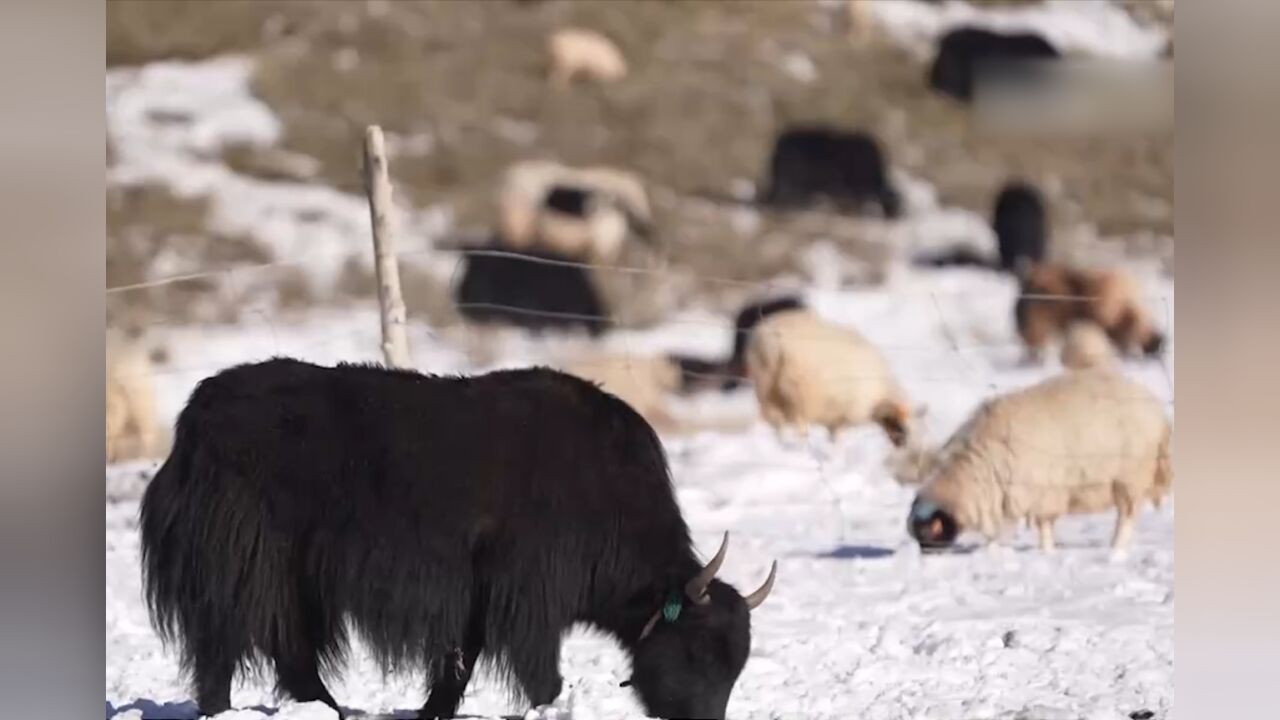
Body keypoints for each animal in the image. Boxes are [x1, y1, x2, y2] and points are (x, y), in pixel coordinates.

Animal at [742, 307, 921, 445]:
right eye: (902, 423)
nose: (903, 444)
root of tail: (771, 341)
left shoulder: (835, 415)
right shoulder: (849, 413)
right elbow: (838, 435)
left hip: (764, 383)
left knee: (774, 420)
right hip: (798, 391)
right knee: (797, 423)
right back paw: (800, 444)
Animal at [911, 366, 1172, 550]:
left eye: (928, 536)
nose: (923, 558)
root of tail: (1156, 410)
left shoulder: (1042, 491)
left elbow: (1043, 526)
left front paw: (1045, 551)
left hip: (1130, 476)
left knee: (1127, 516)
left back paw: (1116, 549)